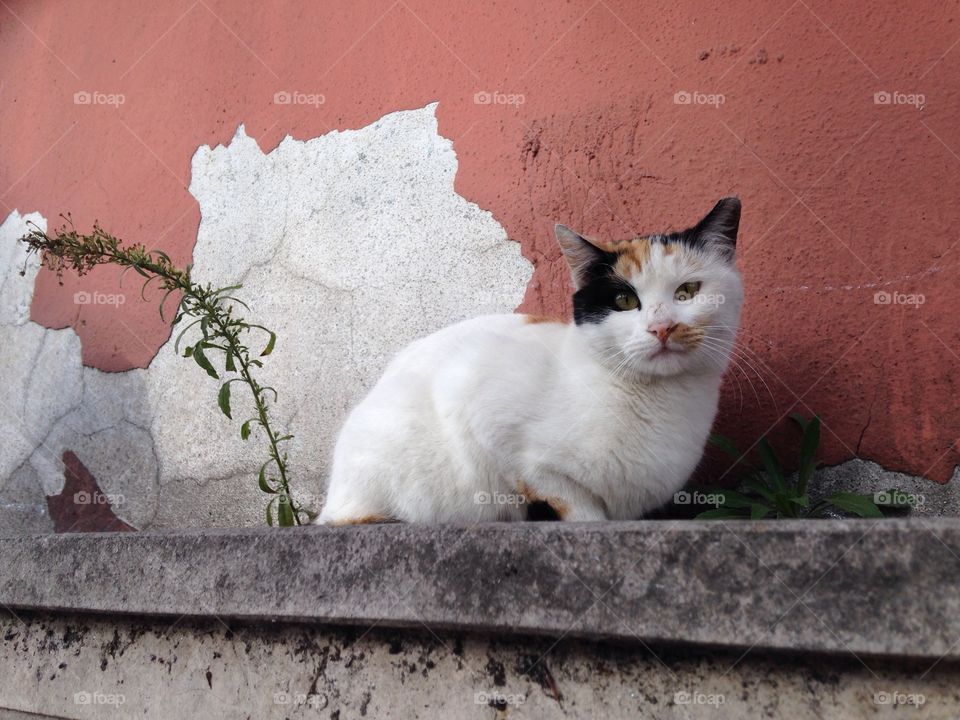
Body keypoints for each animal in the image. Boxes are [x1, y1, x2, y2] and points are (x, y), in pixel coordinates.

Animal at [318, 197, 748, 524]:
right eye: (625, 301)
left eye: (687, 291)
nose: (662, 328)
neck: (657, 399)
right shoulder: (484, 414)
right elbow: (571, 500)